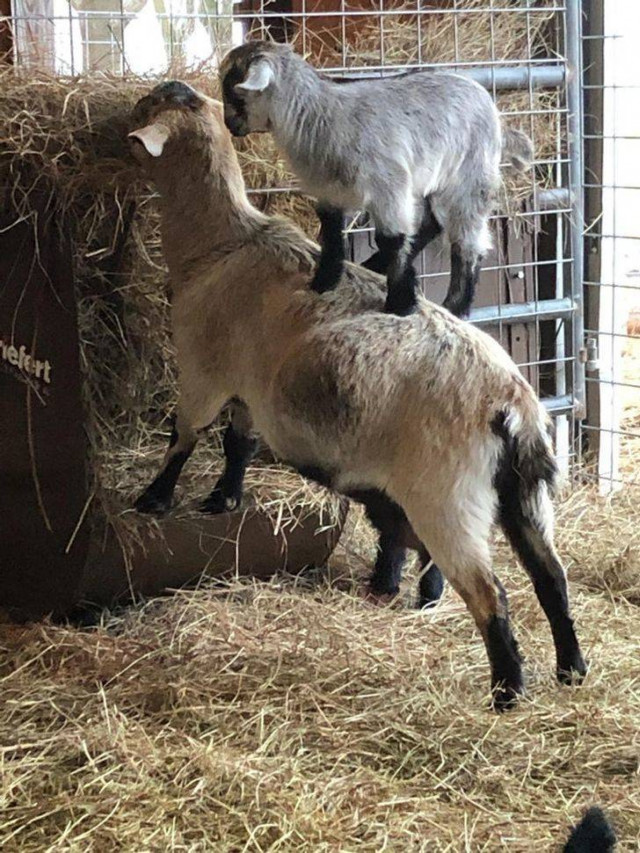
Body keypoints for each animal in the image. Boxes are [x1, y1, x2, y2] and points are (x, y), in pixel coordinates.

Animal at [219, 40, 528, 316]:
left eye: (233, 92)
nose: (229, 125)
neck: (316, 114)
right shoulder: (328, 188)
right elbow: (331, 232)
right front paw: (324, 282)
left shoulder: (388, 185)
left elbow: (391, 238)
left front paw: (400, 304)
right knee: (431, 223)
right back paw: (376, 266)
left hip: (470, 174)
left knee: (467, 241)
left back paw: (456, 307)